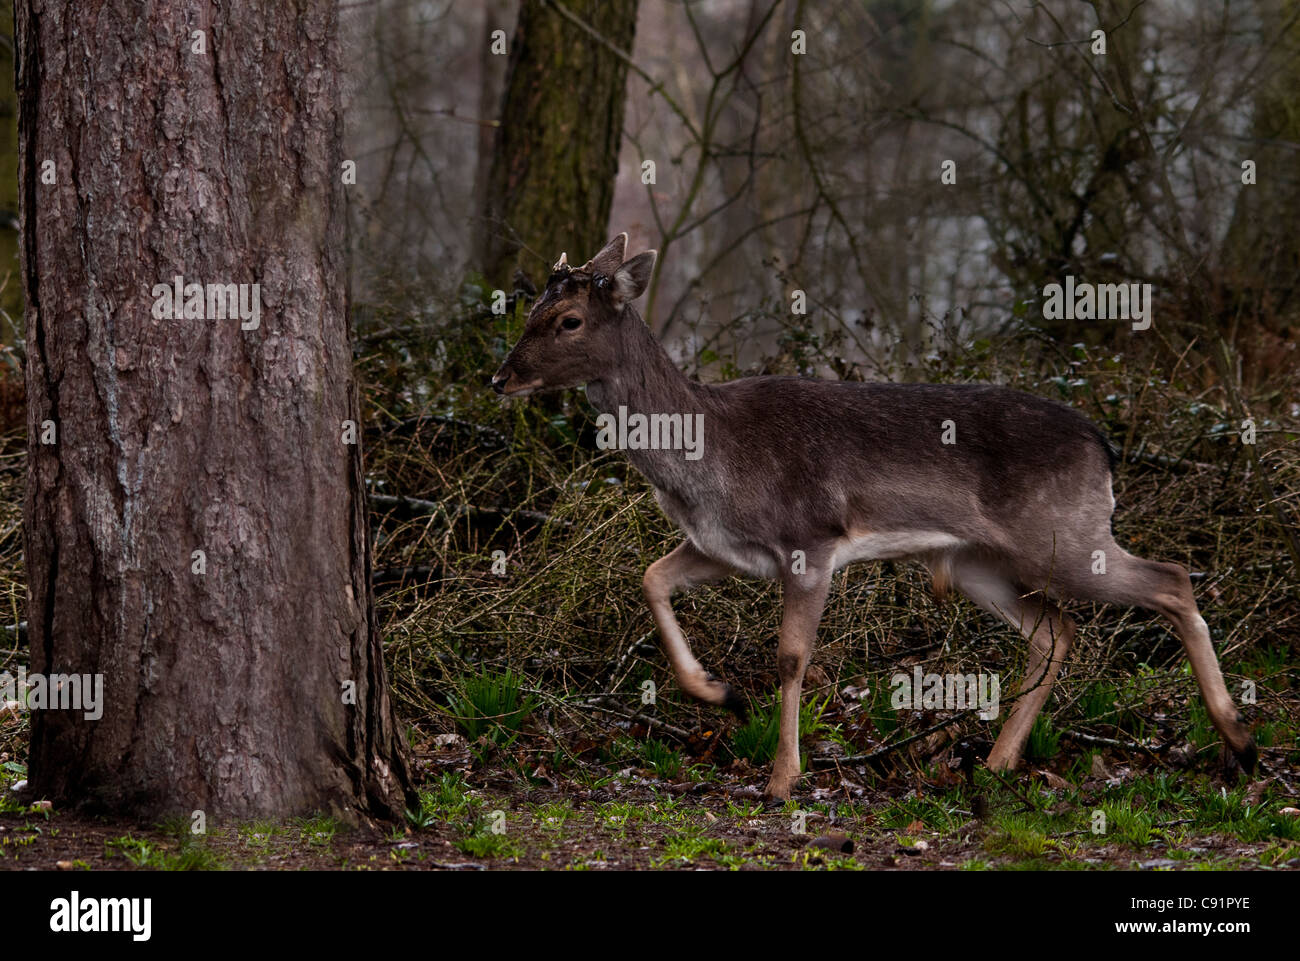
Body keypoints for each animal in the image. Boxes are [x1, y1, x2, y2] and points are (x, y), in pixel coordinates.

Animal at [491, 233, 1257, 802]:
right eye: (526, 311)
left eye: (568, 321)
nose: (501, 377)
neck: (708, 459)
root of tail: (1103, 446)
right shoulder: (719, 545)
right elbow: (651, 576)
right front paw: (718, 692)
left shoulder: (811, 538)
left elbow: (791, 656)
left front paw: (781, 778)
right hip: (981, 562)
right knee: (1057, 631)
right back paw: (999, 763)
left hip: (1066, 535)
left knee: (1170, 578)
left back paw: (1240, 741)